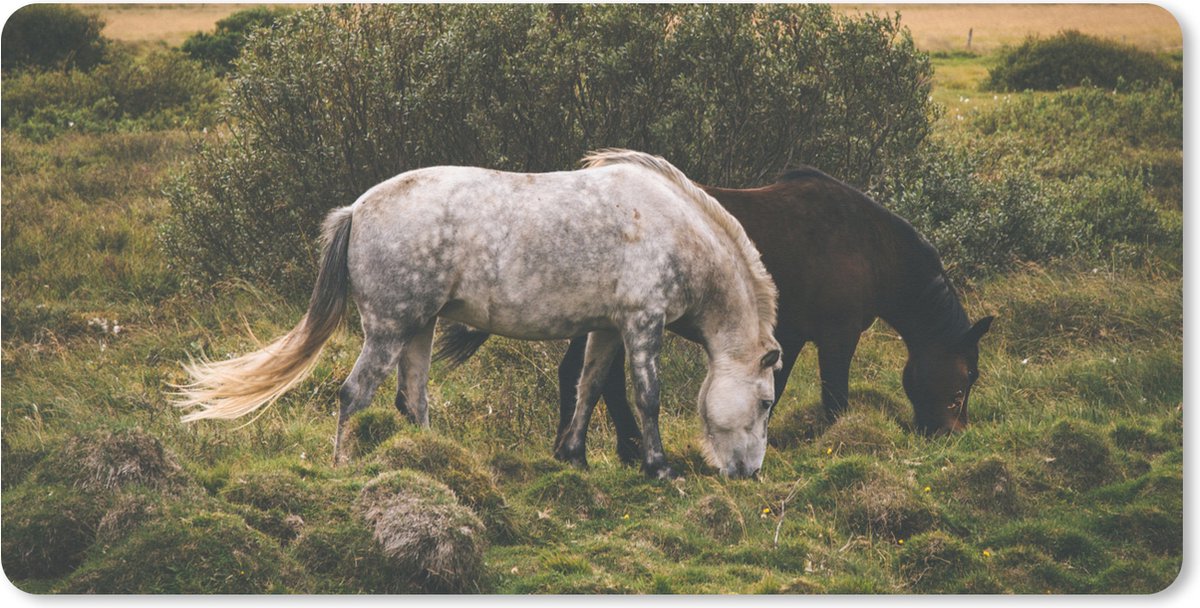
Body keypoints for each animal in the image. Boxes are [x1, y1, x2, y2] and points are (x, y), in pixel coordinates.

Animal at [175, 149, 782, 479]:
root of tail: (357, 209)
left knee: (412, 399)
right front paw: (659, 467)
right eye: (766, 402)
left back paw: (433, 463)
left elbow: (587, 387)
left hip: (419, 329)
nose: (750, 472)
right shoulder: (641, 323)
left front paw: (573, 456)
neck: (672, 229)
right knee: (354, 395)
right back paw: (344, 464)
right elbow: (646, 397)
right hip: (389, 330)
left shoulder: (609, 328)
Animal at [432, 166, 994, 466]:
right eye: (966, 378)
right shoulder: (836, 338)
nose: (953, 435)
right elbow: (835, 398)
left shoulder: (785, 335)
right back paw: (619, 448)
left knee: (586, 376)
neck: (867, 246)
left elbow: (774, 389)